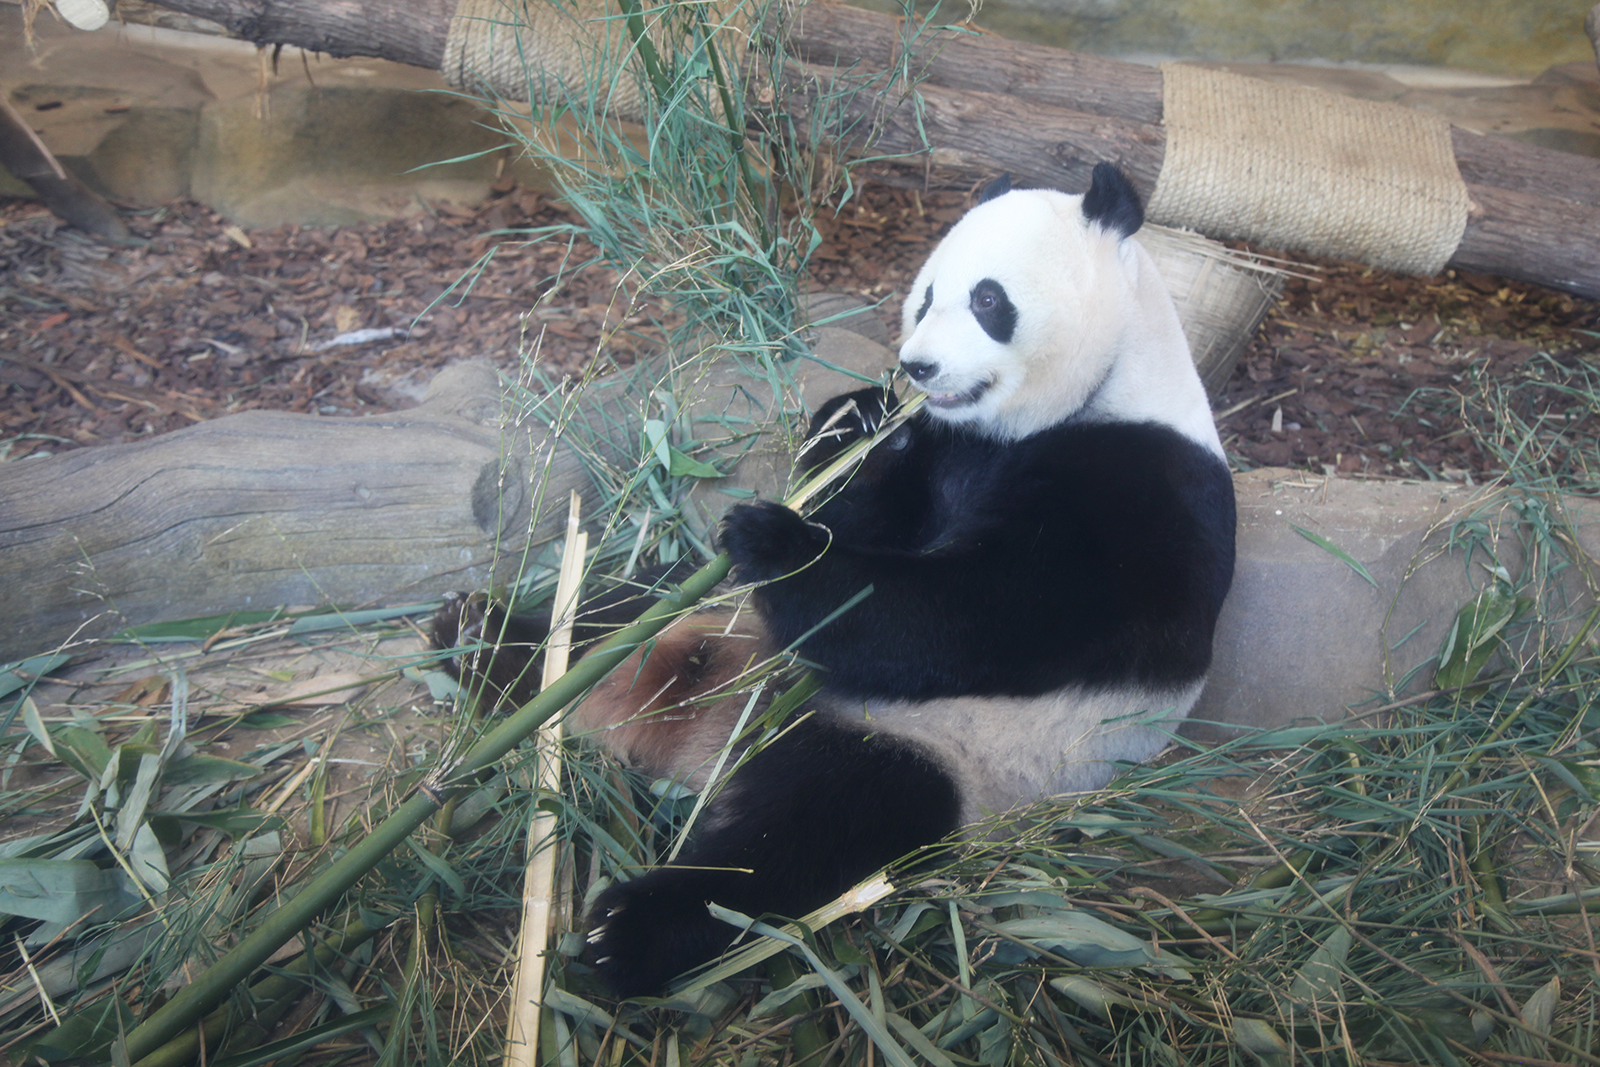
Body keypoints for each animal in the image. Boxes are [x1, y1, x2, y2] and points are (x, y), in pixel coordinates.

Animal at [434, 162, 1236, 999]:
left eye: (989, 300)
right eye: (926, 295)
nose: (917, 367)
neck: (1099, 390)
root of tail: (715, 739)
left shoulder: (1141, 493)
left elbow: (970, 618)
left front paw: (773, 540)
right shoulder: (944, 450)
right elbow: (868, 516)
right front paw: (852, 422)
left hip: (939, 754)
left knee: (806, 838)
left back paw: (630, 931)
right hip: (710, 607)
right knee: (620, 611)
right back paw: (483, 641)